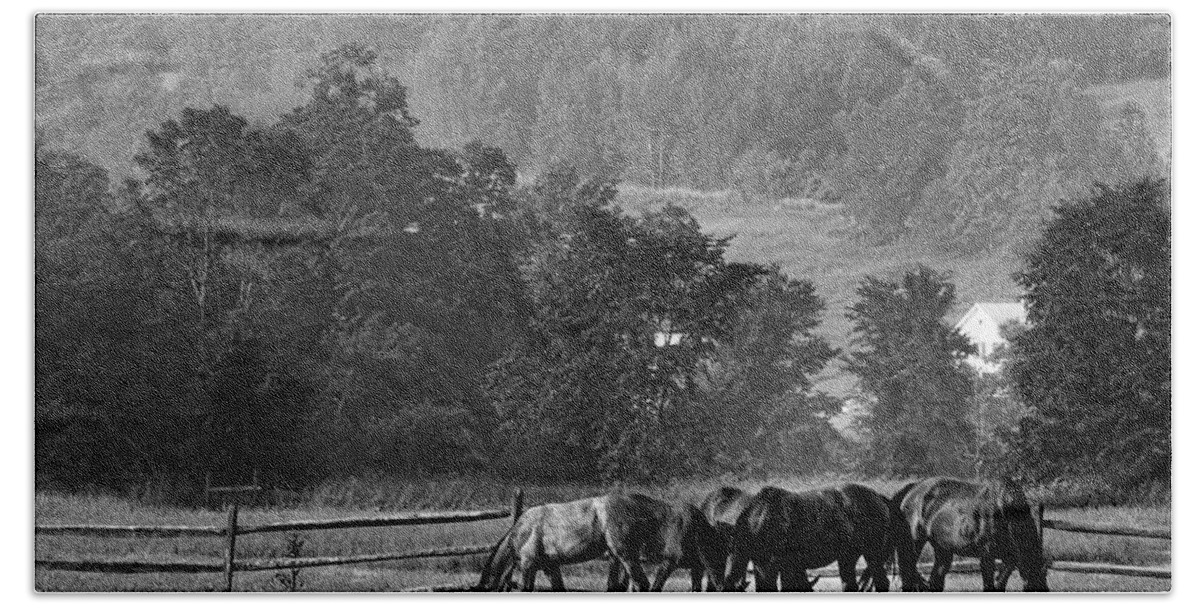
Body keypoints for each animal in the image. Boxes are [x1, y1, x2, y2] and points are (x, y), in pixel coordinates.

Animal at [720, 482, 902, 592]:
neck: (759, 518)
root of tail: (879, 498)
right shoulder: (762, 565)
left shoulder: (771, 565)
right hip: (848, 557)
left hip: (873, 554)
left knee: (881, 582)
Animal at [892, 477, 1051, 592]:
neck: (1004, 510)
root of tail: (913, 488)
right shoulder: (987, 556)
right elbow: (989, 586)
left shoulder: (1010, 558)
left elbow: (1000, 583)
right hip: (914, 542)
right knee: (907, 572)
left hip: (943, 548)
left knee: (936, 579)